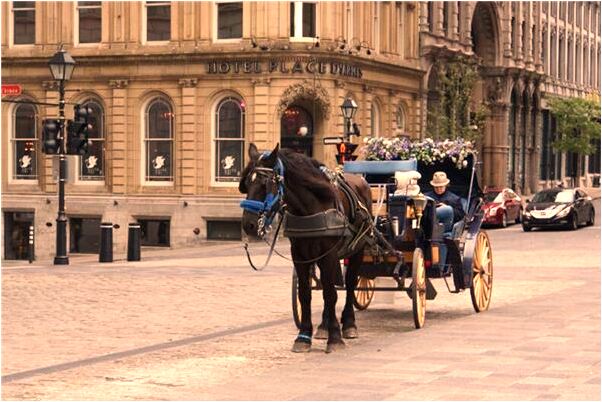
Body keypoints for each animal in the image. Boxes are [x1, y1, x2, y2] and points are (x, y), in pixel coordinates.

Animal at [238, 143, 370, 354]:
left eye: (265, 184)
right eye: (246, 185)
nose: (248, 225)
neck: (311, 208)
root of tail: (359, 180)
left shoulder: (328, 254)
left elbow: (331, 294)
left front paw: (335, 337)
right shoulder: (300, 255)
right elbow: (306, 294)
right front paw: (304, 336)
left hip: (358, 248)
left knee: (349, 284)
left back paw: (349, 324)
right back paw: (323, 326)